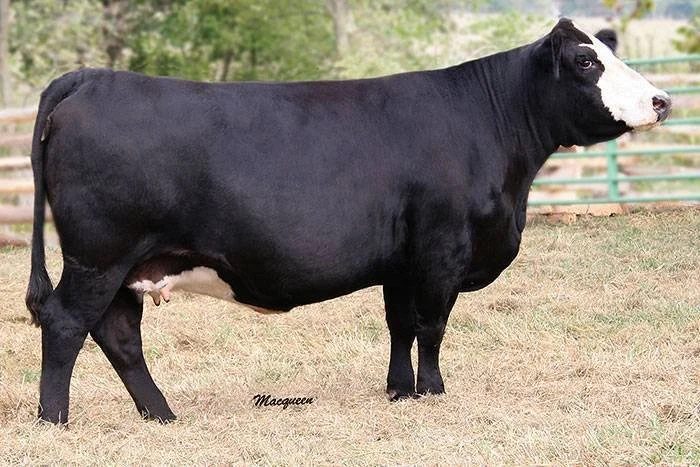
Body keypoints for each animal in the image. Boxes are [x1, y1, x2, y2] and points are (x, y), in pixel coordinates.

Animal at [26, 18, 670, 424]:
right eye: (586, 61)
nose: (661, 101)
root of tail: (91, 76)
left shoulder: (402, 262)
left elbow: (400, 326)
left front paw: (399, 393)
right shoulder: (441, 249)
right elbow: (432, 326)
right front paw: (433, 393)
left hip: (127, 264)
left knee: (118, 335)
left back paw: (161, 415)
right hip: (98, 255)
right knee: (66, 324)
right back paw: (55, 421)